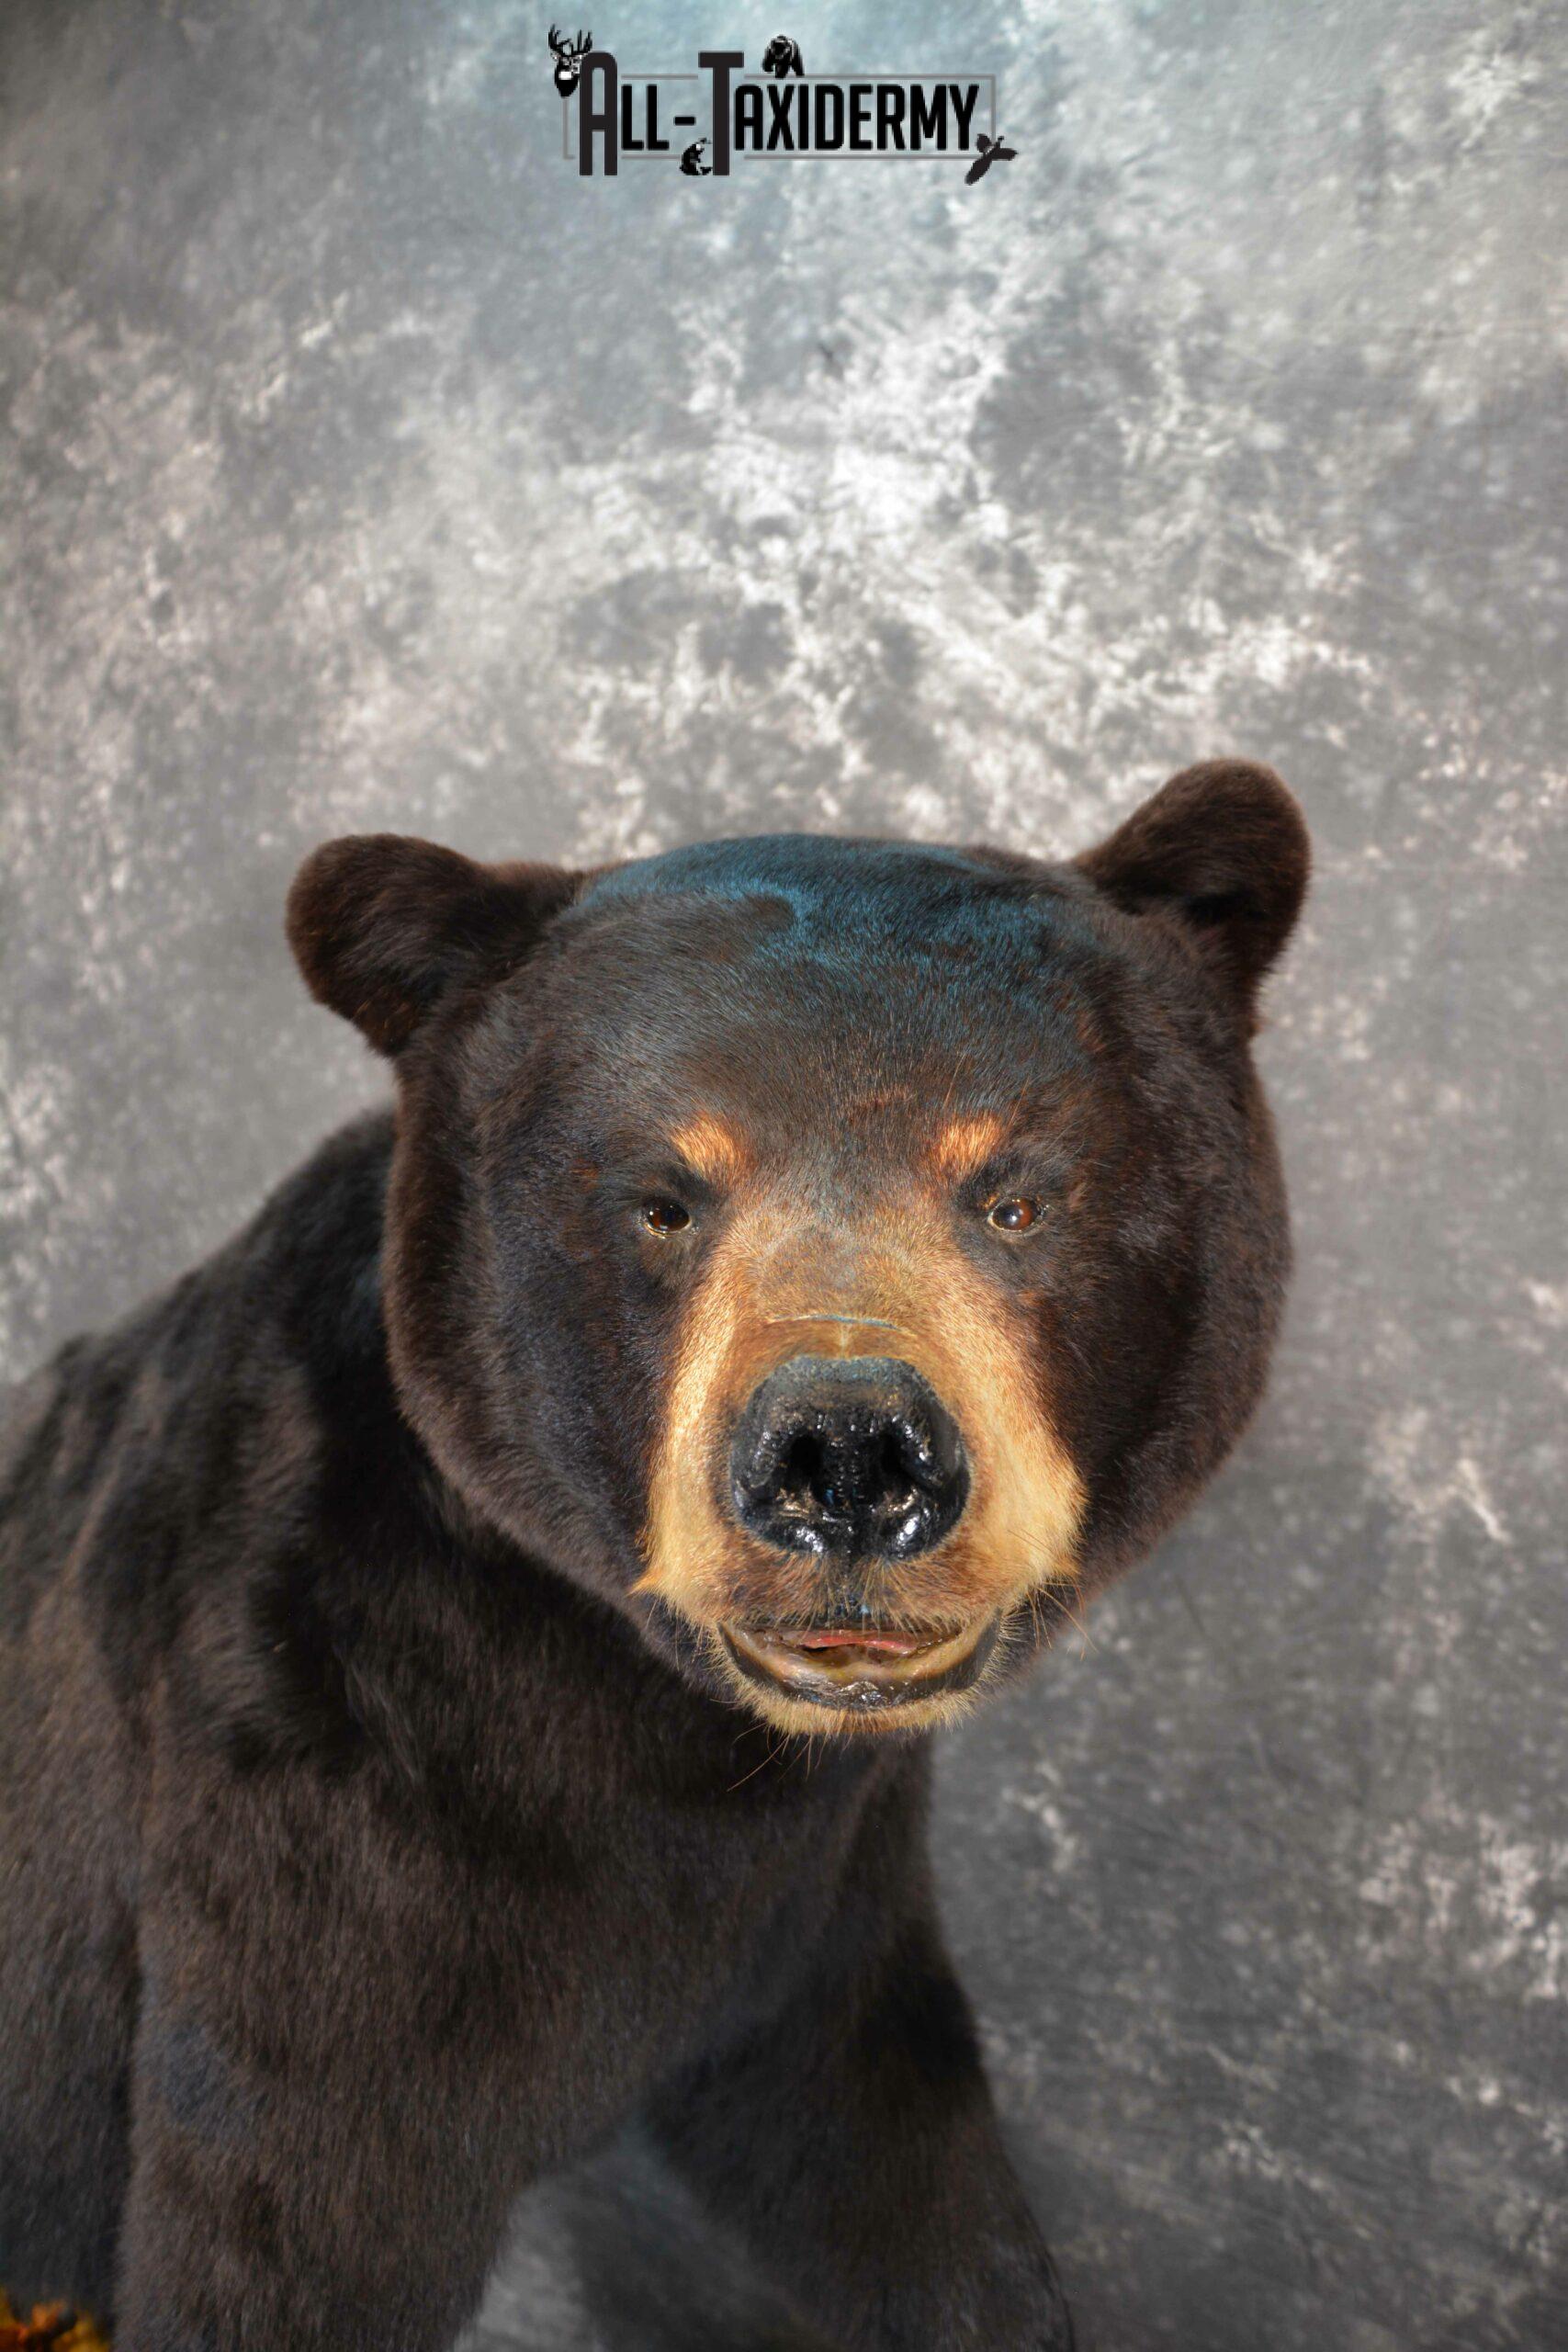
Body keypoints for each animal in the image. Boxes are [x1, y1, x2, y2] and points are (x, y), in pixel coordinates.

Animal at [0, 760, 1309, 2351]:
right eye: (661, 1201)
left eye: (1012, 1193)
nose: (847, 1456)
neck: (647, 1721)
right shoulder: (308, 1799)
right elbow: (281, 2226)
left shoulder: (817, 1914)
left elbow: (897, 2170)